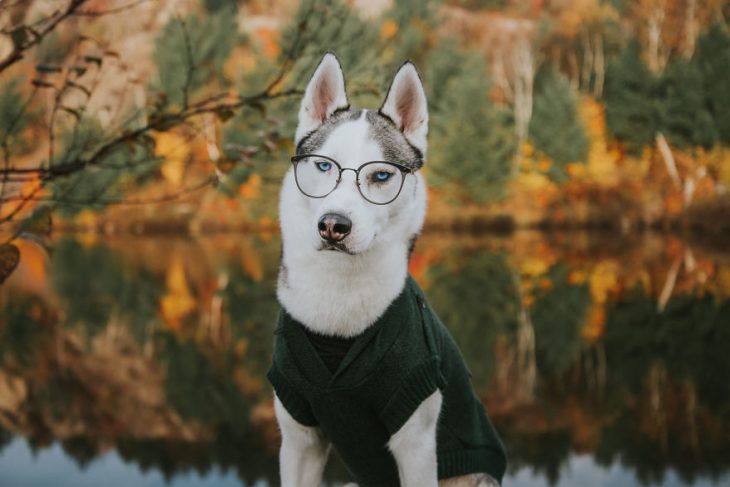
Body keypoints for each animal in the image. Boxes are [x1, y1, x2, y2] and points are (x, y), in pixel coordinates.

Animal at [268, 54, 506, 487]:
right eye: (324, 166)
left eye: (381, 175)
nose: (333, 225)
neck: (339, 302)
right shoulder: (298, 438)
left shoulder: (415, 440)